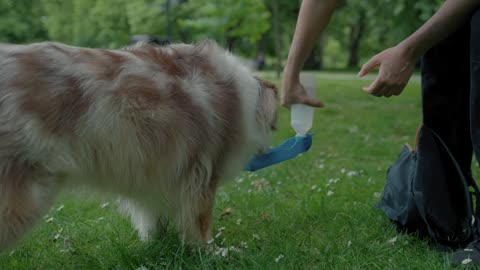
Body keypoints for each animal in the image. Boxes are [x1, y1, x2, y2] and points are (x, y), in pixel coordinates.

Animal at [0, 40, 278, 251]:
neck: (239, 96)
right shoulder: (201, 174)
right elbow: (200, 223)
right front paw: (211, 252)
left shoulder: (154, 178)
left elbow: (152, 218)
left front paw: (155, 243)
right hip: (23, 197)